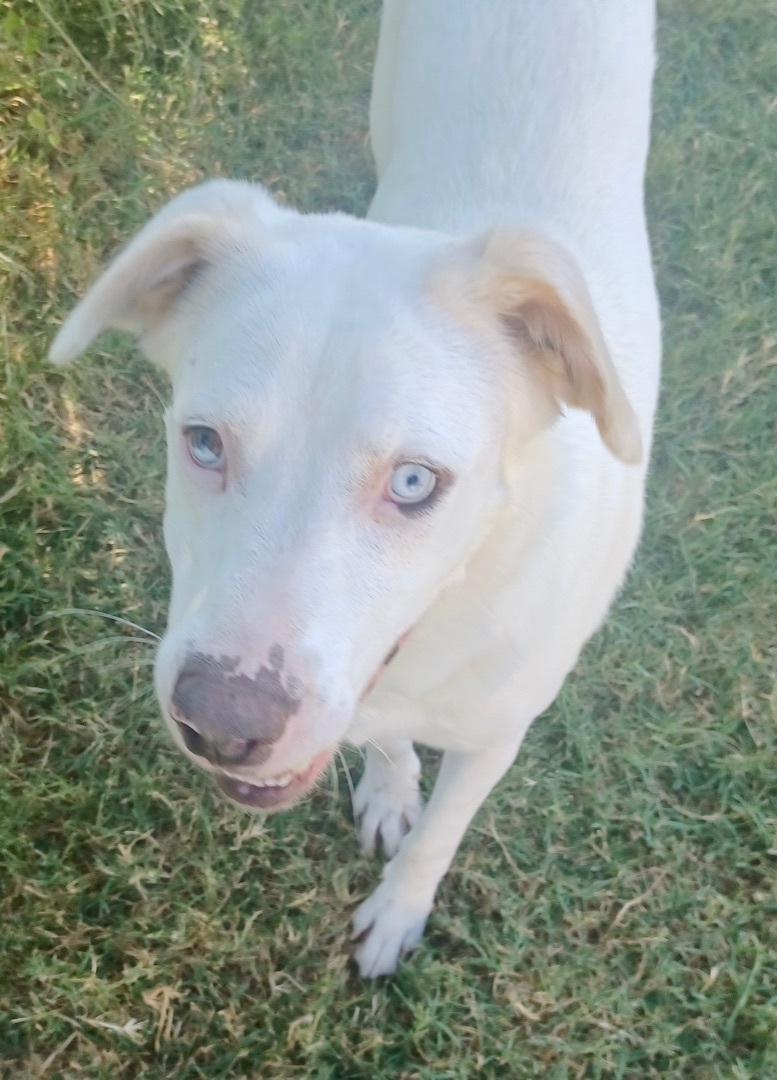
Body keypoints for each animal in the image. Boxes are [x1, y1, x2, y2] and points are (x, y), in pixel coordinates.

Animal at [50, 0, 660, 977]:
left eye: (413, 482)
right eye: (203, 443)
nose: (221, 724)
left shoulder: (497, 733)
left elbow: (443, 832)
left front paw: (400, 906)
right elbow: (384, 736)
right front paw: (388, 787)